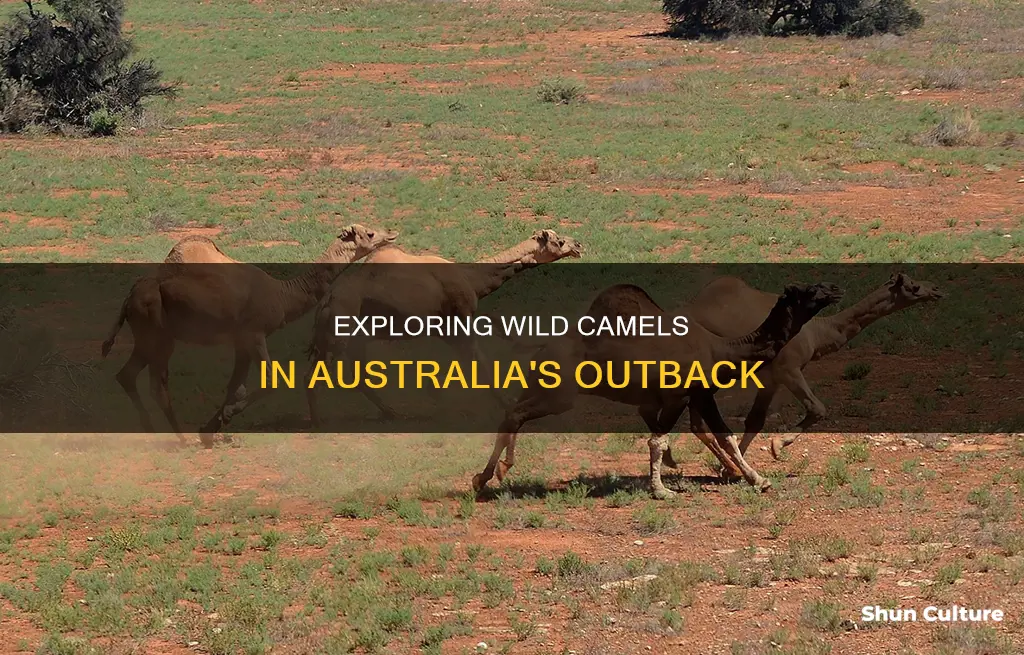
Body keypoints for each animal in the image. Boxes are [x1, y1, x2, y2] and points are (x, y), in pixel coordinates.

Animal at [99, 224, 398, 447]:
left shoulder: (240, 342)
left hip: (147, 335)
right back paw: (180, 439)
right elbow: (271, 380)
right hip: (158, 333)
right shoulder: (253, 334)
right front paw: (221, 421)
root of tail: (131, 296)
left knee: (127, 375)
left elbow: (235, 385)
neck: (283, 295)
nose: (391, 233)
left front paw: (211, 429)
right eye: (370, 234)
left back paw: (154, 432)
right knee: (156, 384)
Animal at [304, 229, 583, 425]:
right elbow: (480, 362)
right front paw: (507, 403)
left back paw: (393, 413)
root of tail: (327, 301)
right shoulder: (461, 318)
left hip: (350, 337)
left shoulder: (445, 328)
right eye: (558, 241)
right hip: (340, 332)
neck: (473, 280)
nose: (579, 245)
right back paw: (319, 421)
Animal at [471, 280, 844, 498]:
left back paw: (491, 474)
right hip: (560, 393)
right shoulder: (680, 394)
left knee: (513, 412)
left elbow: (726, 436)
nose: (836, 288)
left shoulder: (700, 394)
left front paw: (757, 479)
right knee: (514, 415)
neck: (722, 349)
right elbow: (658, 440)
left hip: (543, 385)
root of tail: (542, 348)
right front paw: (662, 491)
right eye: (811, 291)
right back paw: (487, 476)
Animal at [681, 272, 944, 479]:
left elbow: (755, 420)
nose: (936, 289)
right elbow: (817, 408)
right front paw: (777, 446)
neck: (818, 333)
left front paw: (733, 470)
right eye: (913, 286)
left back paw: (729, 466)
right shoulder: (788, 369)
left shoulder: (770, 378)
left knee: (697, 422)